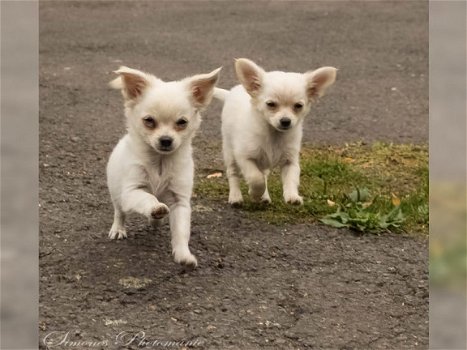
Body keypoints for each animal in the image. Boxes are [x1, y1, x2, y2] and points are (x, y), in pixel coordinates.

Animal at [108, 66, 221, 268]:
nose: (166, 140)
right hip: (116, 192)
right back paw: (119, 229)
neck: (160, 161)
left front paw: (183, 255)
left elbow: (181, 231)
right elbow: (147, 198)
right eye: (149, 121)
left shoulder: (179, 201)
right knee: (120, 212)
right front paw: (155, 207)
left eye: (182, 122)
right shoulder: (131, 191)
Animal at [216, 57, 336, 205]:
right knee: (233, 174)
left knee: (264, 174)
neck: (274, 135)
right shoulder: (244, 157)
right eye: (271, 104)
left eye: (298, 106)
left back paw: (264, 197)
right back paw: (235, 197)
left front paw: (292, 196)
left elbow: (291, 179)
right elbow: (256, 178)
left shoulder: (290, 161)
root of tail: (231, 93)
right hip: (229, 152)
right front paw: (255, 193)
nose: (285, 121)